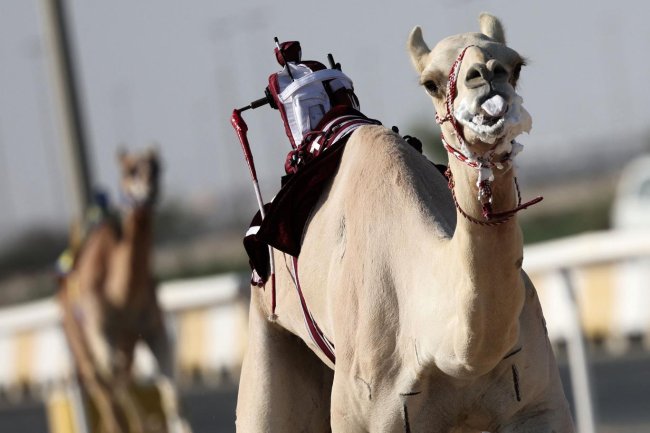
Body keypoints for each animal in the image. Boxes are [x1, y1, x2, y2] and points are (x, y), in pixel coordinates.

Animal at [58, 149, 190, 433]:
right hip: (80, 343)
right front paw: (149, 423)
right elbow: (118, 384)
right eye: (129, 170)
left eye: (156, 168)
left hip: (126, 344)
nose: (148, 192)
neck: (121, 294)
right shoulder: (101, 334)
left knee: (119, 383)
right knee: (105, 391)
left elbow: (172, 394)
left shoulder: (153, 328)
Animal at [236, 13, 575, 433]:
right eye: (430, 82)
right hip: (266, 336)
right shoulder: (363, 414)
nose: (486, 75)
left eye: (515, 66)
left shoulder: (537, 405)